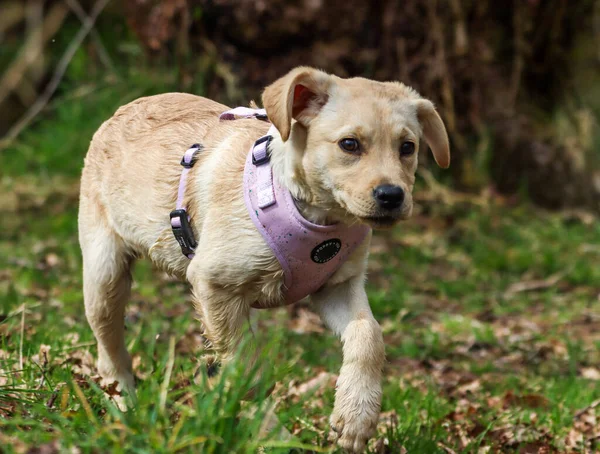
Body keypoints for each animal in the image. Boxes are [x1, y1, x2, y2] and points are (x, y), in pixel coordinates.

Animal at [77, 66, 448, 450]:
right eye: (349, 144)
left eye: (408, 148)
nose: (392, 195)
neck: (317, 217)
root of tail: (122, 110)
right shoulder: (215, 285)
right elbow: (247, 371)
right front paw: (273, 434)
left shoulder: (337, 287)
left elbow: (369, 335)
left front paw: (356, 417)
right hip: (104, 276)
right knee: (109, 348)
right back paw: (125, 406)